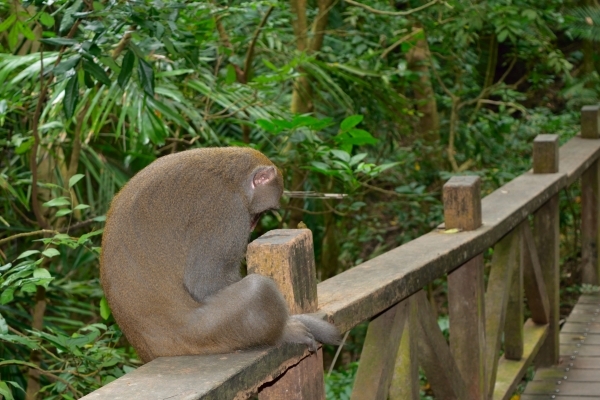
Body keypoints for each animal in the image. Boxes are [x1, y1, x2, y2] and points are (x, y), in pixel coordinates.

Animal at [101, 146, 340, 362]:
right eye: (258, 213)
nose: (253, 225)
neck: (230, 177)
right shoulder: (229, 213)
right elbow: (205, 284)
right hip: (203, 334)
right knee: (258, 289)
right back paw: (284, 333)